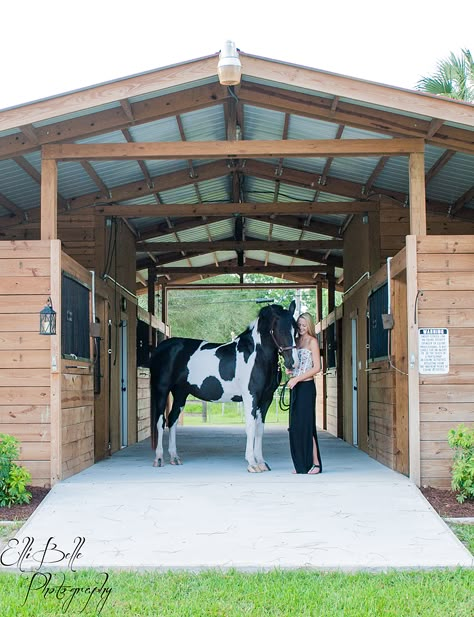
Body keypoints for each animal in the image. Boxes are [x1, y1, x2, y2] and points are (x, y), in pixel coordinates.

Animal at [149, 302, 296, 472]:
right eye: (280, 330)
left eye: (297, 331)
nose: (292, 363)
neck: (256, 356)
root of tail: (160, 349)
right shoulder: (250, 396)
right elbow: (251, 426)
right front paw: (252, 463)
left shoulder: (266, 399)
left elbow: (260, 429)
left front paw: (261, 462)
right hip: (162, 390)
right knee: (161, 421)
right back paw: (159, 458)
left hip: (180, 393)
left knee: (172, 419)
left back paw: (174, 457)